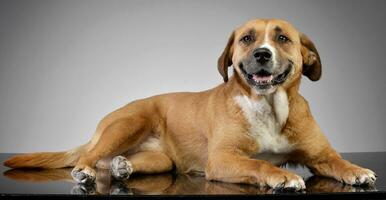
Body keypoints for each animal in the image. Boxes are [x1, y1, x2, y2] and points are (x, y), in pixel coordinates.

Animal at [3, 18, 376, 191]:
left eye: (282, 38)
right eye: (247, 38)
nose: (261, 54)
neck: (270, 108)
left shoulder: (320, 155)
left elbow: (338, 161)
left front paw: (355, 170)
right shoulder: (222, 159)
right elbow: (259, 164)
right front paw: (280, 176)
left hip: (162, 160)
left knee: (118, 162)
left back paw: (123, 167)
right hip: (130, 123)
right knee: (89, 158)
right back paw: (86, 170)